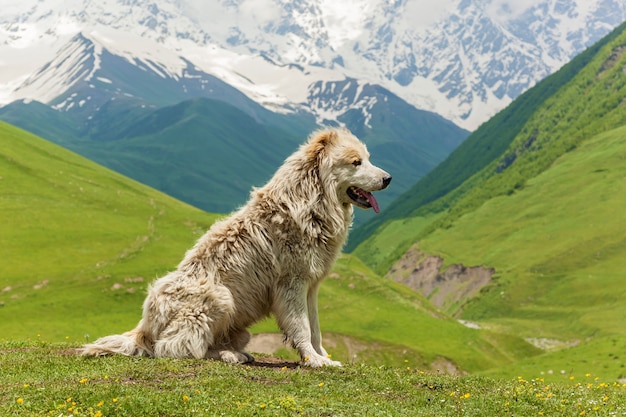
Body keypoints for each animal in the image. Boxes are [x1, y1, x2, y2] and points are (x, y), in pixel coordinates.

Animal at [80, 127, 388, 368]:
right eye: (356, 162)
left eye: (369, 159)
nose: (388, 179)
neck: (313, 199)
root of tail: (144, 327)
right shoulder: (292, 284)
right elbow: (301, 327)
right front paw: (314, 360)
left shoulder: (311, 286)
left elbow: (316, 329)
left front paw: (322, 356)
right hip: (219, 296)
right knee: (176, 348)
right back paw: (229, 356)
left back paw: (234, 352)